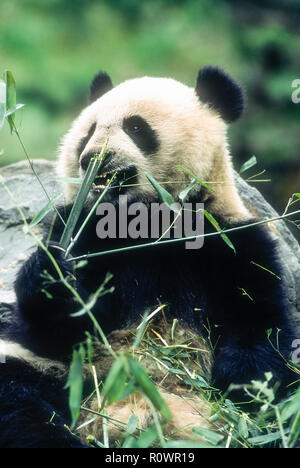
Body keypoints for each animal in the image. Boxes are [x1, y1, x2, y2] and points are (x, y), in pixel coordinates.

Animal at [0, 65, 296, 446]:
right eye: (89, 131)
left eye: (136, 128)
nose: (93, 158)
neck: (144, 221)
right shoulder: (78, 228)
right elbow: (58, 325)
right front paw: (54, 276)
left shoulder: (231, 240)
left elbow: (259, 320)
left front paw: (245, 383)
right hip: (56, 373)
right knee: (20, 400)